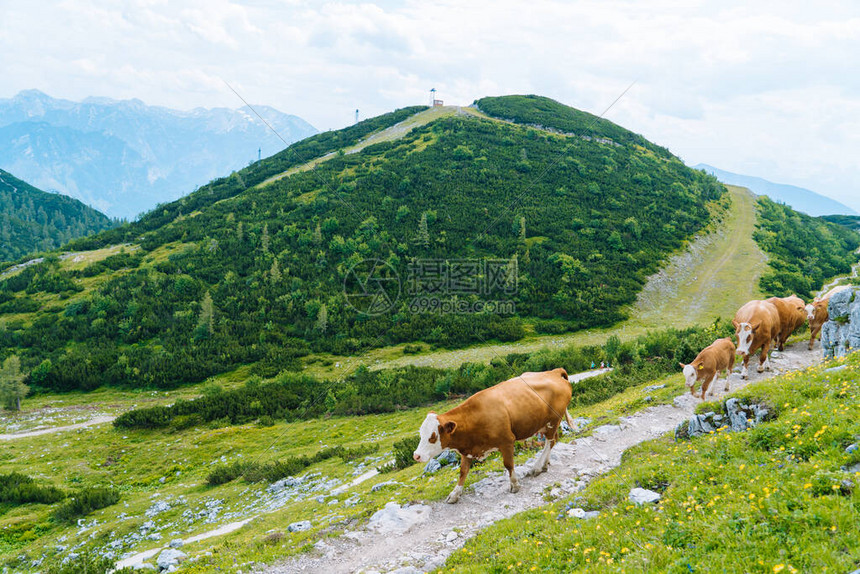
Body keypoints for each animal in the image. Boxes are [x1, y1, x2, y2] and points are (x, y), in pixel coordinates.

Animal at [414, 368, 576, 504]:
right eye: (421, 434)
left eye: (433, 436)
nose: (416, 455)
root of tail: (554, 372)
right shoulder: (467, 449)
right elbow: (463, 472)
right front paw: (455, 494)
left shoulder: (507, 441)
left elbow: (508, 464)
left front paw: (514, 485)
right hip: (545, 424)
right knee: (553, 441)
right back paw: (544, 465)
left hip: (553, 421)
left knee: (549, 442)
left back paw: (536, 467)